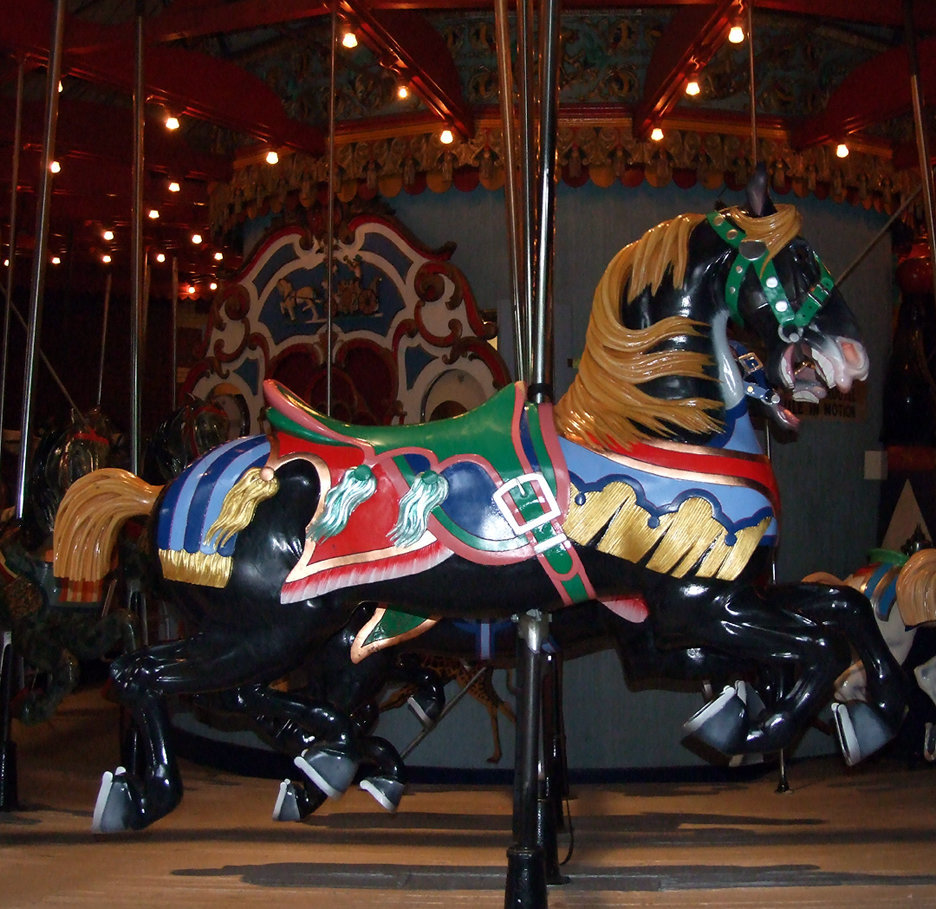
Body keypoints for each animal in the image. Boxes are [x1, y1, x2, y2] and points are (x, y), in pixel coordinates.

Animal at [51, 174, 908, 832]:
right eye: (796, 261)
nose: (854, 358)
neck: (658, 431)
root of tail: (164, 489)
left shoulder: (680, 614)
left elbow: (840, 610)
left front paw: (873, 707)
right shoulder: (694, 604)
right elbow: (814, 644)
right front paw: (767, 720)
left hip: (314, 633)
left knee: (242, 691)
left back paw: (329, 759)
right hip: (264, 627)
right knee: (148, 674)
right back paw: (153, 793)